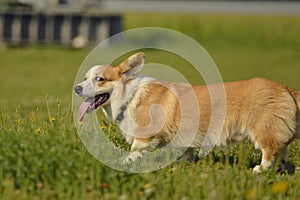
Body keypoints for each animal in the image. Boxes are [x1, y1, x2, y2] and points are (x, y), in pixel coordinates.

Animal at [75, 52, 300, 173]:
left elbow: (133, 152)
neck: (130, 96)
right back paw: (279, 171)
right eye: (86, 78)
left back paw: (259, 170)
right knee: (282, 150)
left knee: (270, 151)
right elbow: (186, 152)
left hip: (262, 130)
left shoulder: (145, 137)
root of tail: (286, 88)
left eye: (100, 79)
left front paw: (121, 162)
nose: (77, 88)